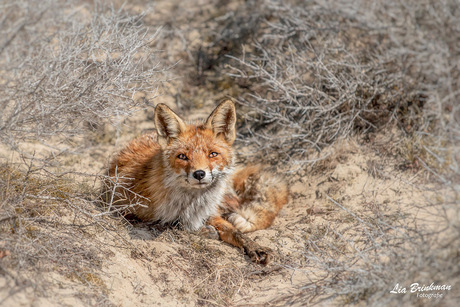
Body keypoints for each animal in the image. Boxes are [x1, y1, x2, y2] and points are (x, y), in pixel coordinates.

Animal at [101, 100, 288, 264]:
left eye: (213, 154)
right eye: (183, 156)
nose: (199, 174)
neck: (192, 203)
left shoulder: (211, 212)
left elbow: (235, 232)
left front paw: (253, 246)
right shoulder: (122, 208)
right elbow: (172, 223)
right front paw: (203, 230)